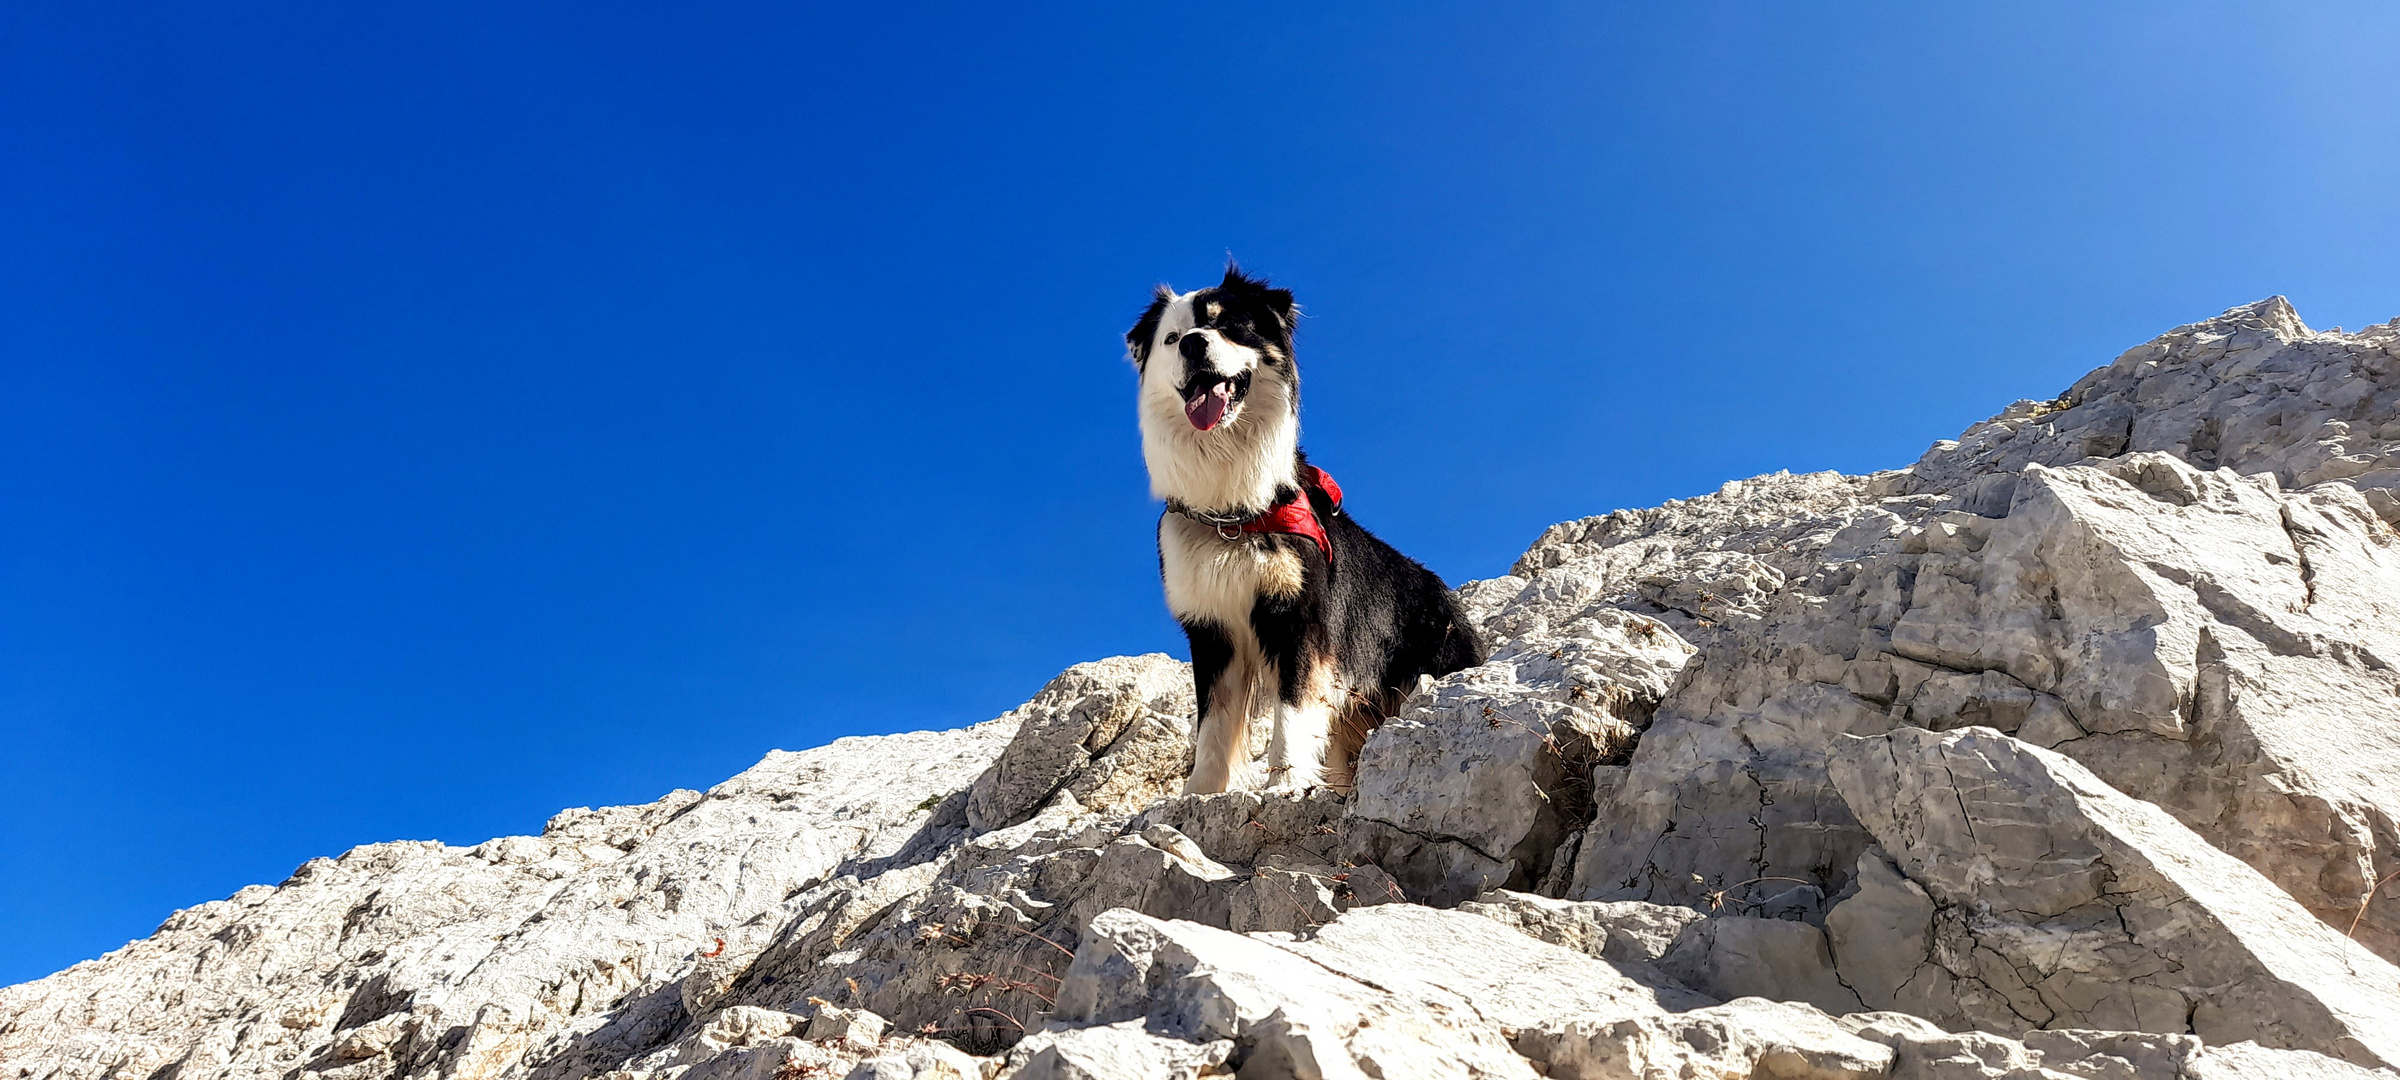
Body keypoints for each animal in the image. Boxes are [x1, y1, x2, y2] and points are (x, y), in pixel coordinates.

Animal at [1123, 261, 1478, 792]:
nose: (1192, 344)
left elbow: (1292, 710)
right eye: (1171, 337)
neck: (1234, 515)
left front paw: (1285, 783)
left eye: (1230, 324)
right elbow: (1213, 724)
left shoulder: (1299, 616)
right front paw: (1199, 794)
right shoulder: (1211, 628)